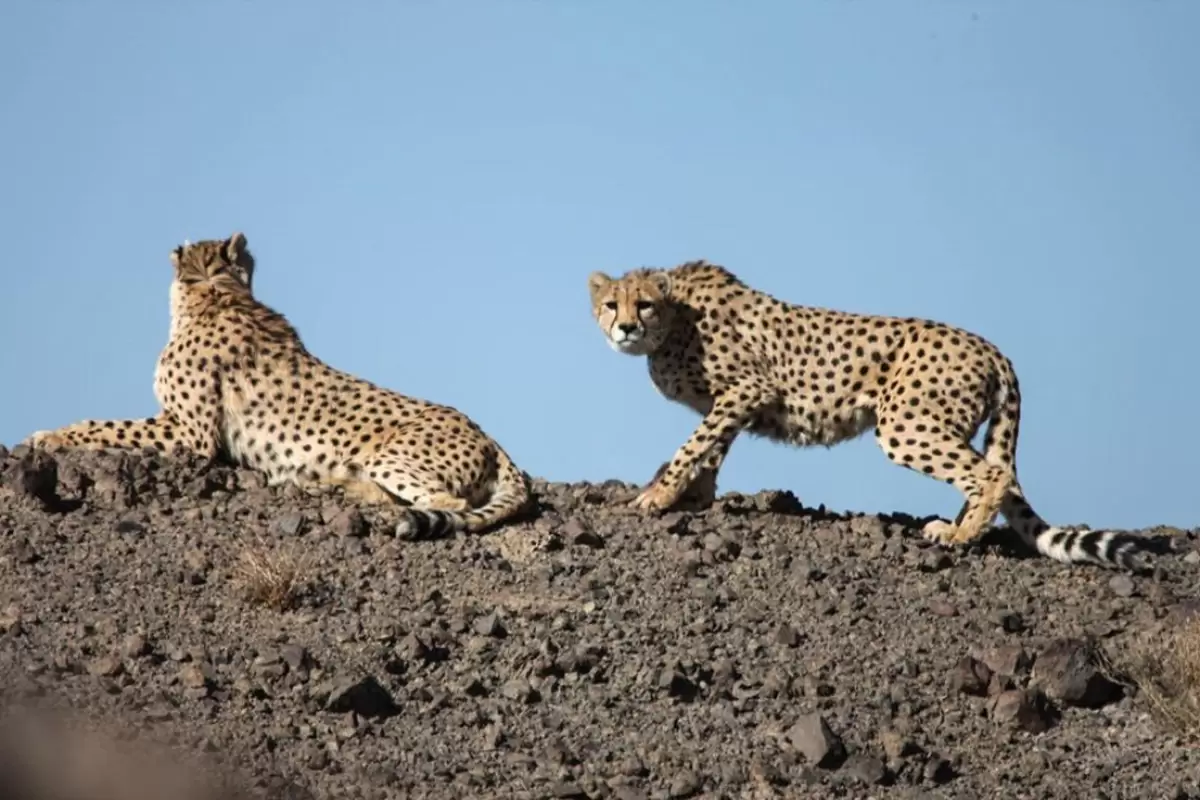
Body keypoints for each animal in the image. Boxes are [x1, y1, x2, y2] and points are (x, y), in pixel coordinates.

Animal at [22, 235, 530, 542]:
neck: (216, 292)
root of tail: (491, 437)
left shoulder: (192, 436)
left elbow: (108, 426)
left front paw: (50, 436)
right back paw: (326, 483)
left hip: (390, 455)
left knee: (445, 501)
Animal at [590, 262, 1152, 568]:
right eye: (610, 305)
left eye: (642, 304)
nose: (624, 328)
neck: (674, 320)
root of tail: (992, 348)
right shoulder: (730, 402)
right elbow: (711, 448)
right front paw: (695, 498)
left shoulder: (748, 387)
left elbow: (693, 445)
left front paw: (658, 496)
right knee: (991, 475)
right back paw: (954, 526)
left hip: (904, 423)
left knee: (992, 475)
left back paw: (959, 536)